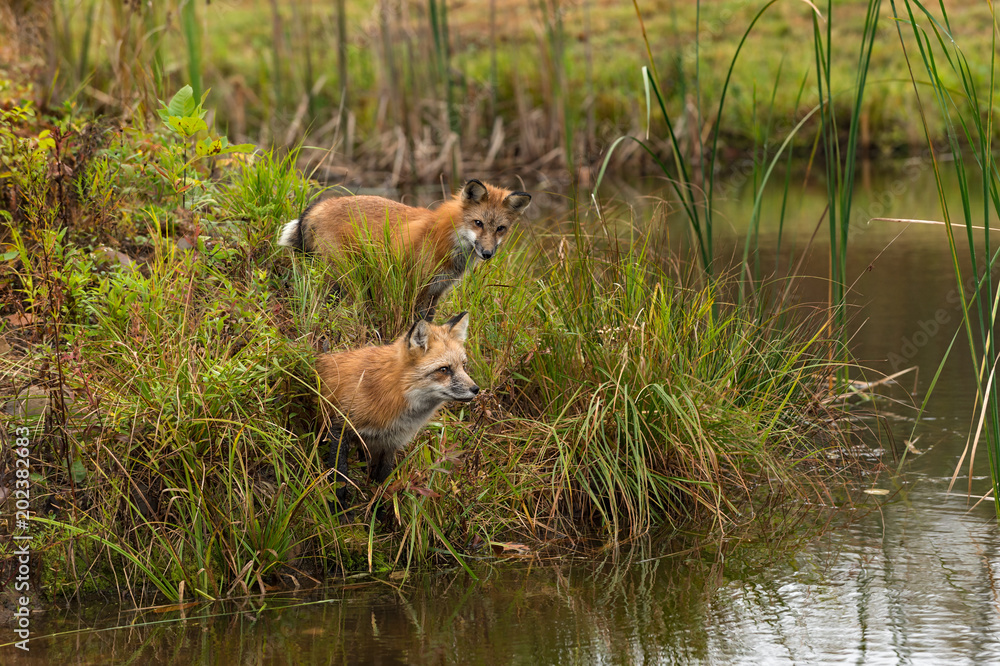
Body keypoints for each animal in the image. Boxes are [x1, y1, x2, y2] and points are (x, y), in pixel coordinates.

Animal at [277, 180, 531, 319]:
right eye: (478, 223)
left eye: (500, 229)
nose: (487, 253)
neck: (447, 239)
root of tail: (321, 205)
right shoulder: (415, 287)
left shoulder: (435, 293)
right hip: (344, 278)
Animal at [317, 311, 478, 506]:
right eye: (444, 369)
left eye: (464, 365)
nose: (476, 389)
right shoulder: (339, 427)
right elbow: (339, 479)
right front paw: (339, 510)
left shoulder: (389, 444)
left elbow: (383, 484)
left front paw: (378, 511)